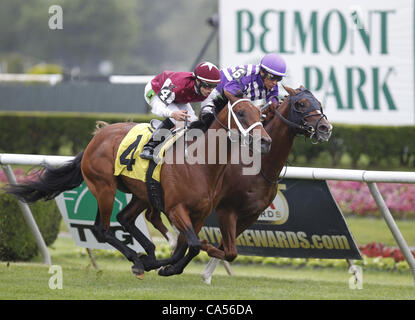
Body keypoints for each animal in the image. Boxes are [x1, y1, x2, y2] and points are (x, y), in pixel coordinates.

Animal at [7, 95, 272, 278]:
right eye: (241, 112)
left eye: (260, 113)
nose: (266, 141)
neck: (200, 162)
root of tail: (96, 138)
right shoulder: (175, 209)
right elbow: (193, 244)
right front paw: (162, 265)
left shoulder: (200, 214)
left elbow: (188, 246)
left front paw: (167, 266)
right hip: (104, 188)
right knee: (102, 229)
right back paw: (137, 258)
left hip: (141, 193)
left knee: (124, 218)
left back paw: (148, 255)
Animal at [200, 86, 334, 282]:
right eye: (301, 104)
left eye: (319, 103)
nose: (325, 128)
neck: (257, 165)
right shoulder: (227, 209)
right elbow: (225, 249)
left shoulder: (251, 214)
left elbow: (226, 248)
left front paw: (206, 273)